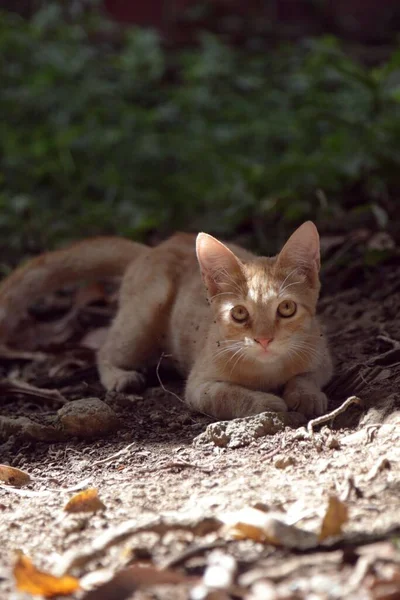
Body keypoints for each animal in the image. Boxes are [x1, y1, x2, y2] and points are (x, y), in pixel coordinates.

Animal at [0, 220, 332, 418]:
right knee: (104, 349)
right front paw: (265, 403)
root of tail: (151, 250)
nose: (264, 340)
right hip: (142, 316)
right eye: (239, 313)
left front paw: (305, 395)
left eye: (286, 308)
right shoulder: (198, 386)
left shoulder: (322, 357)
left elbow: (307, 376)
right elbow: (229, 395)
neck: (268, 369)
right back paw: (119, 376)